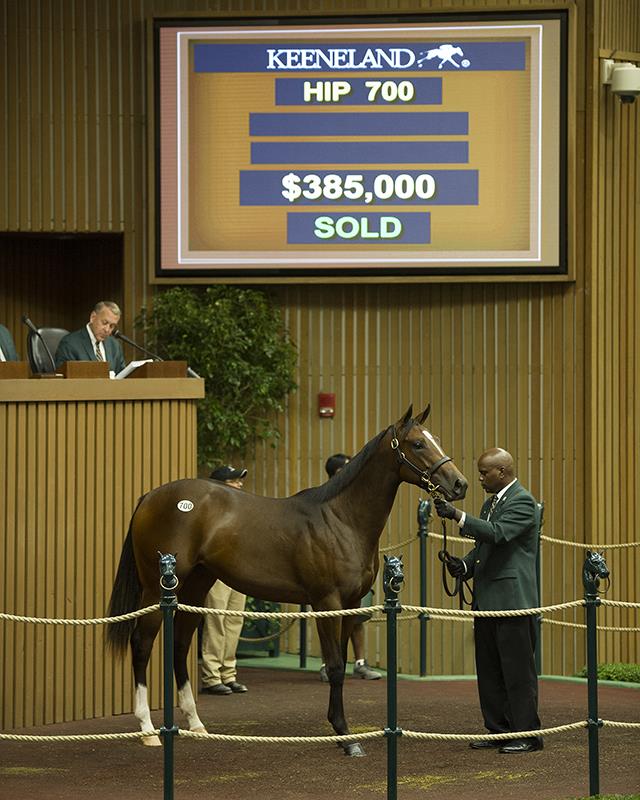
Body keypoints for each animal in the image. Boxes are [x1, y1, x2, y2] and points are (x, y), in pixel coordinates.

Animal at [104, 410, 464, 752]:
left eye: (435, 438)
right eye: (418, 444)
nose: (459, 484)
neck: (341, 519)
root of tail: (151, 496)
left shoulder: (349, 604)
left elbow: (342, 662)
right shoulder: (326, 603)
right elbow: (335, 666)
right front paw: (345, 736)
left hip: (195, 587)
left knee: (179, 645)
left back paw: (195, 723)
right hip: (157, 589)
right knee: (142, 644)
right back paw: (148, 730)